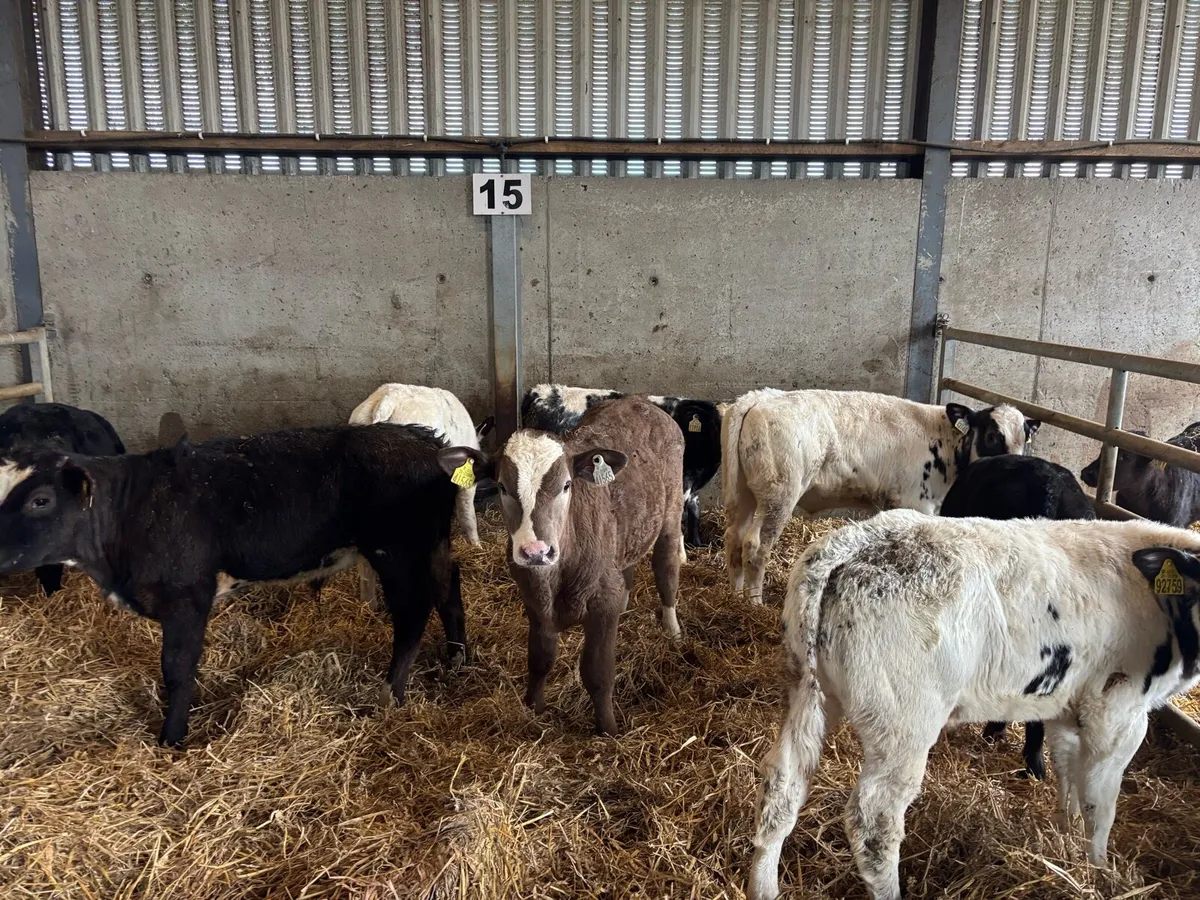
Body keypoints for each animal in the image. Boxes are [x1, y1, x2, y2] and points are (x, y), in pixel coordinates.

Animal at [0, 424, 471, 748]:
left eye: (40, 500)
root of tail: (422, 441)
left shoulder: (187, 596)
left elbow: (177, 669)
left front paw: (172, 737)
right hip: (430, 546)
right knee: (449, 588)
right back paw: (458, 659)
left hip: (397, 553)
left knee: (412, 614)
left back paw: (390, 693)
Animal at [444, 395, 683, 736]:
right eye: (502, 487)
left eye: (567, 485)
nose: (536, 551)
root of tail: (638, 401)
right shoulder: (534, 599)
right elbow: (540, 657)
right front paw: (533, 707)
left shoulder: (602, 604)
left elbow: (598, 671)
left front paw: (608, 729)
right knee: (627, 567)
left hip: (671, 511)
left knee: (666, 566)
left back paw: (673, 630)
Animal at [722, 389, 1039, 604]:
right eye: (992, 436)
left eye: (1025, 438)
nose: (1016, 464)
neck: (944, 441)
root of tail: (760, 398)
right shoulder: (916, 502)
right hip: (780, 495)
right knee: (755, 546)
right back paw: (754, 602)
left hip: (744, 492)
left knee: (734, 537)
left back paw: (735, 596)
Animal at [749, 510, 1200, 900]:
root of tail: (858, 539)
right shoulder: (1118, 713)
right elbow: (1099, 803)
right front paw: (1099, 871)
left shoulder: (1067, 710)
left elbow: (1069, 780)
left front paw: (1066, 843)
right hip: (904, 724)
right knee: (873, 819)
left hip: (807, 691)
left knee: (783, 785)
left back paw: (763, 888)